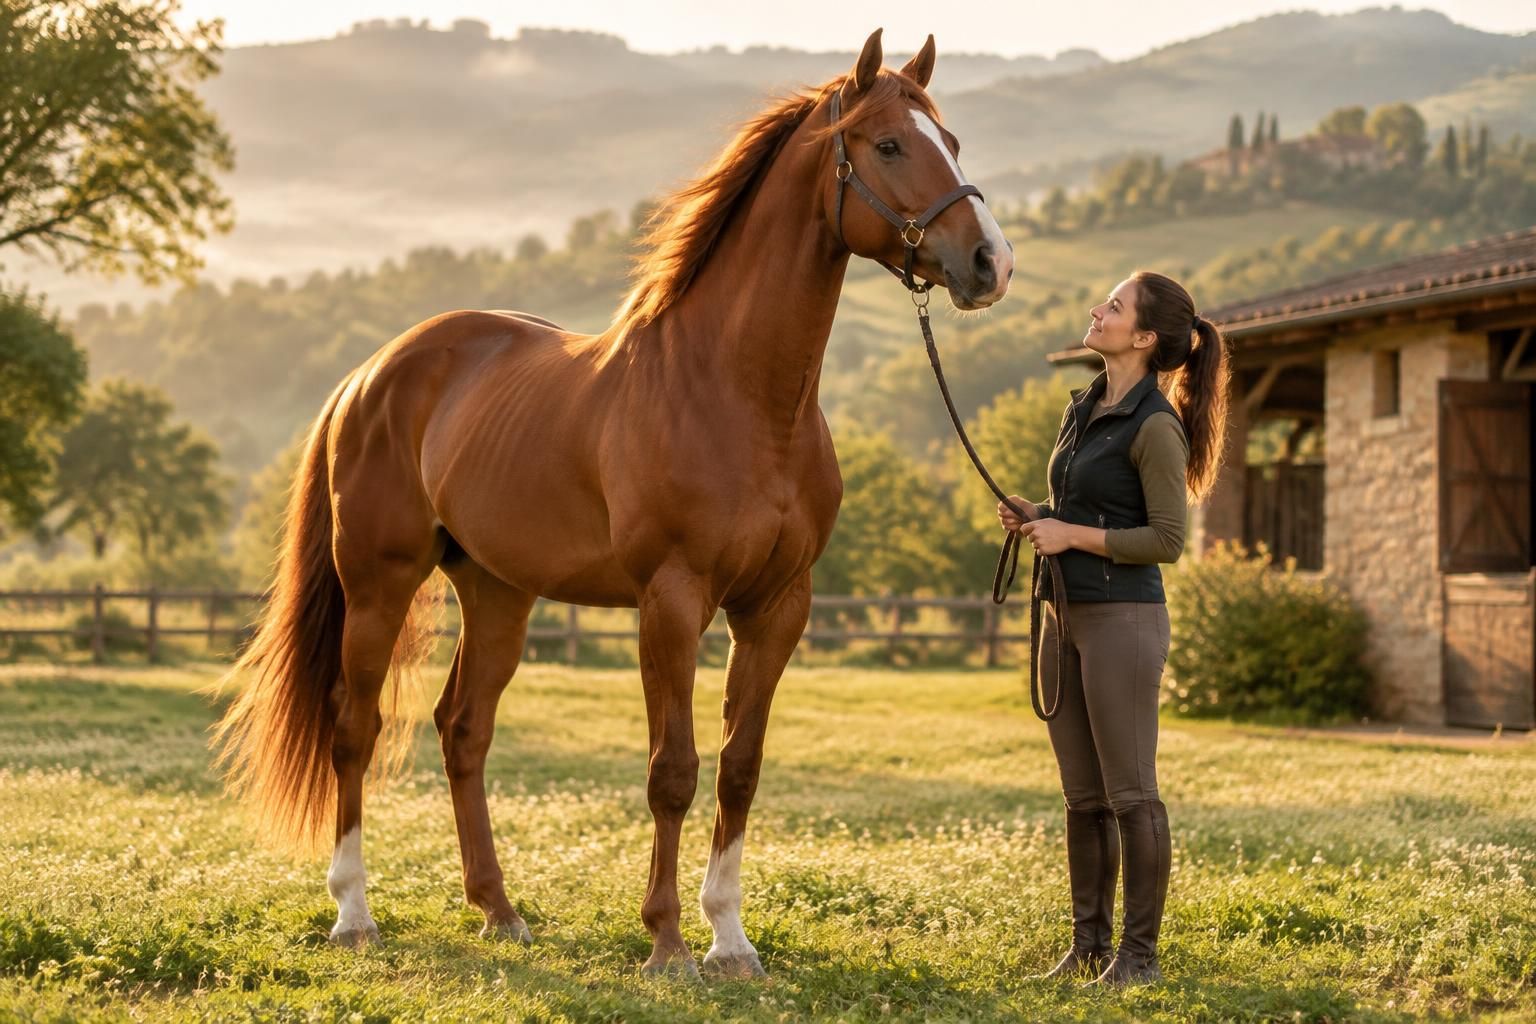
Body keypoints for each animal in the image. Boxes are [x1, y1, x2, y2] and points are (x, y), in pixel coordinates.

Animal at [213, 28, 1013, 980]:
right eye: (889, 144)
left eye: (953, 142)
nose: (989, 262)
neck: (740, 396)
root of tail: (370, 373)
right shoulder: (671, 600)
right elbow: (673, 769)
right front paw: (667, 939)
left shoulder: (778, 606)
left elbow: (739, 767)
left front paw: (730, 939)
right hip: (381, 585)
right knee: (353, 730)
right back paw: (354, 914)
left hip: (496, 591)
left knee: (463, 730)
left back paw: (500, 910)